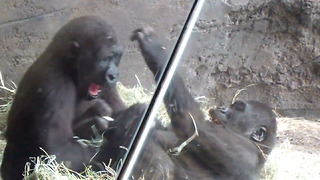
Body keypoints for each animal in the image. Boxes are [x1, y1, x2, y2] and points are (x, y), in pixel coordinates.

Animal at [0, 15, 145, 180]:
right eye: (104, 59)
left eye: (115, 57)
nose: (114, 75)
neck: (66, 65)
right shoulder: (54, 83)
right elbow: (60, 150)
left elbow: (117, 111)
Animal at [129, 27, 276, 179]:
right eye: (232, 105)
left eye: (238, 107)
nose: (222, 108)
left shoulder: (244, 152)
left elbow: (192, 125)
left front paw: (154, 48)